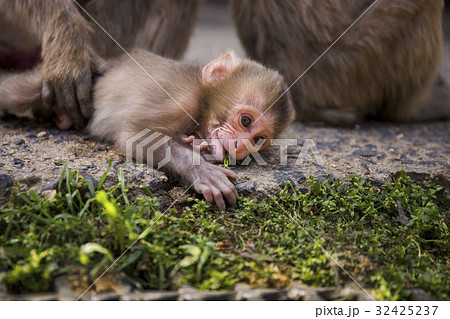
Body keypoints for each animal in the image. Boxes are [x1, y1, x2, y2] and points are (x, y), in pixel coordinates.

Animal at [0, 49, 296, 210]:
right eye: (245, 121)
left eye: (258, 139)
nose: (242, 147)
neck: (202, 101)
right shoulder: (179, 101)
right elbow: (132, 136)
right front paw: (201, 170)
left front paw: (202, 147)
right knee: (16, 92)